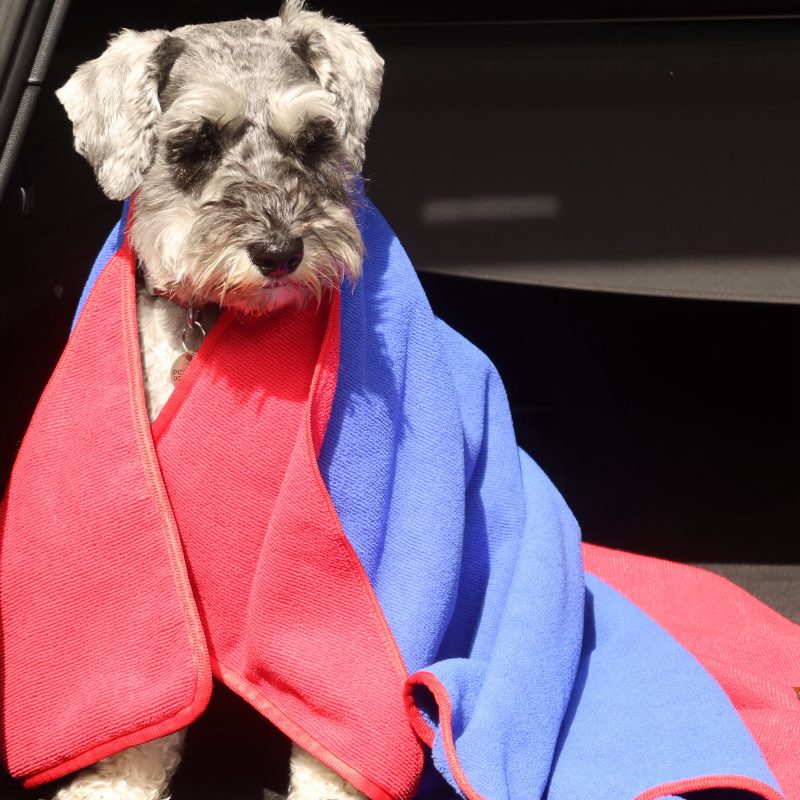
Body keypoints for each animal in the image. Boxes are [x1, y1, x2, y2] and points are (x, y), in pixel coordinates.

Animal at [54, 1, 384, 800]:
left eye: (316, 139)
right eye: (194, 143)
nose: (281, 251)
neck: (213, 318)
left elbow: (330, 731)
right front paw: (122, 781)